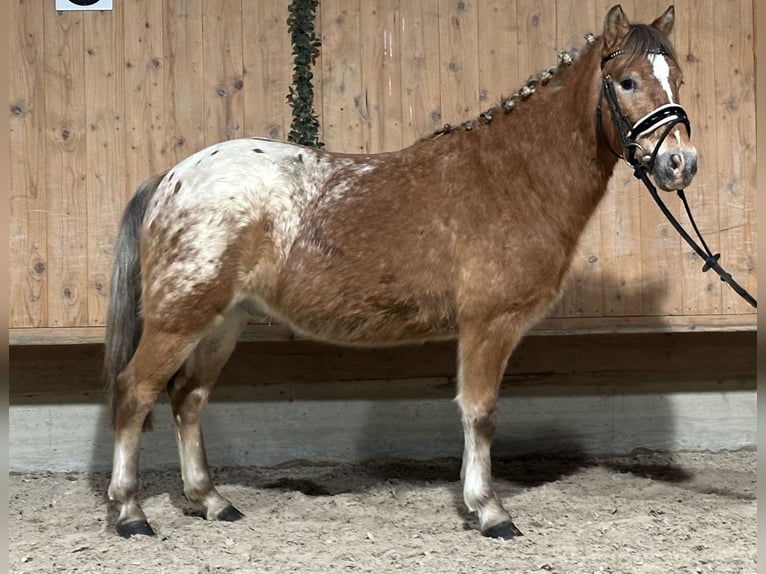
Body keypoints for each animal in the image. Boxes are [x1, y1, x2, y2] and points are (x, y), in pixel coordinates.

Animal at [105, 5, 700, 540]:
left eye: (677, 79)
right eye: (626, 81)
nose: (681, 164)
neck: (513, 178)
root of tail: (173, 177)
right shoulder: (489, 325)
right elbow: (480, 413)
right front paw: (490, 512)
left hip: (222, 322)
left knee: (189, 398)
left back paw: (212, 501)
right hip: (180, 319)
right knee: (136, 392)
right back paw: (131, 513)